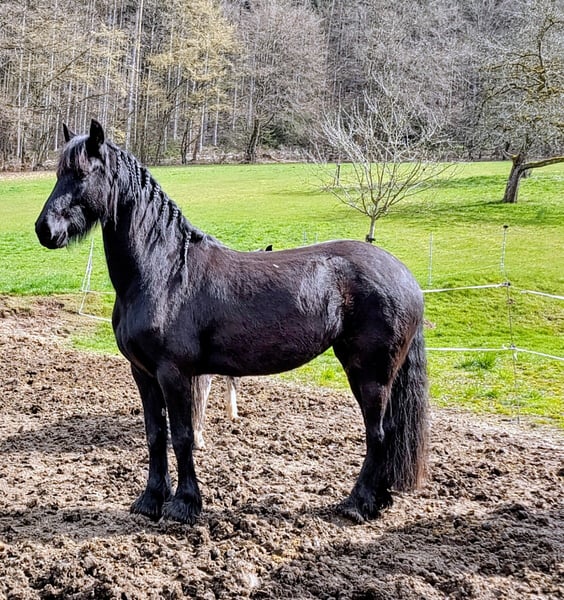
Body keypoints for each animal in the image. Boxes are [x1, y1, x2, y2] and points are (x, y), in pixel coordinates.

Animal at [35, 120, 429, 525]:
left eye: (82, 173)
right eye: (59, 173)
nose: (45, 230)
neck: (164, 271)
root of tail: (404, 275)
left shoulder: (173, 372)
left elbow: (182, 436)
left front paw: (184, 505)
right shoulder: (142, 373)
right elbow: (155, 434)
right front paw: (150, 501)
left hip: (369, 373)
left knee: (378, 433)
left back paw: (357, 504)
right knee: (389, 433)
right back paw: (379, 500)